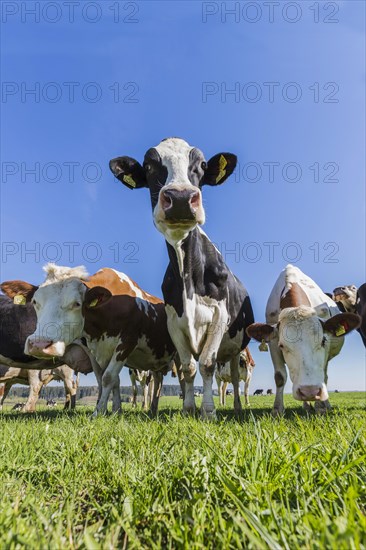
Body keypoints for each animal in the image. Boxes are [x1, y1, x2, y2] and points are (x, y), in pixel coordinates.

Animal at [22, 266, 177, 416]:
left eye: (77, 304)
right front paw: (115, 411)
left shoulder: (126, 343)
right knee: (158, 380)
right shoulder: (97, 349)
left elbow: (107, 377)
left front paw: (98, 412)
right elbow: (111, 380)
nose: (39, 344)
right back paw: (153, 409)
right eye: (35, 302)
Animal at [109, 137, 254, 418]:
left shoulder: (219, 317)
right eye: (149, 166)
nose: (180, 197)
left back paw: (237, 406)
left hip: (236, 347)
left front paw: (208, 411)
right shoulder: (174, 323)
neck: (188, 277)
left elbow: (207, 364)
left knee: (232, 373)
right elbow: (188, 368)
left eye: (203, 165)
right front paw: (188, 408)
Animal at [246, 266, 360, 416]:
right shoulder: (273, 343)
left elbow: (323, 376)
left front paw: (321, 407)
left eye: (323, 341)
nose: (309, 391)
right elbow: (280, 377)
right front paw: (277, 409)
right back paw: (306, 406)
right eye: (282, 345)